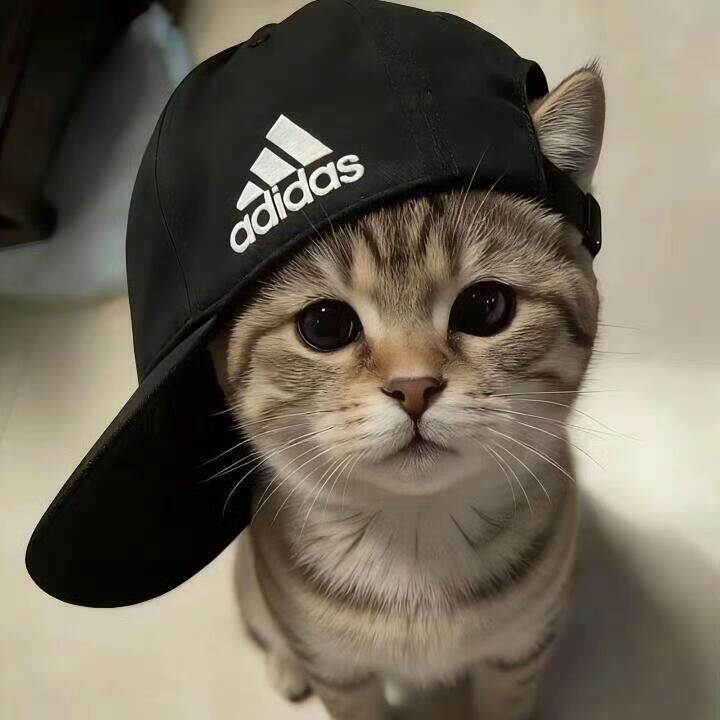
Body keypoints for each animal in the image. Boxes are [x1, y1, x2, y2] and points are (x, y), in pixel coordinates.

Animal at [209, 63, 604, 720]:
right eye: (325, 325)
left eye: (486, 306)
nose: (414, 387)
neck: (418, 541)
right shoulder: (339, 672)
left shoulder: (519, 654)